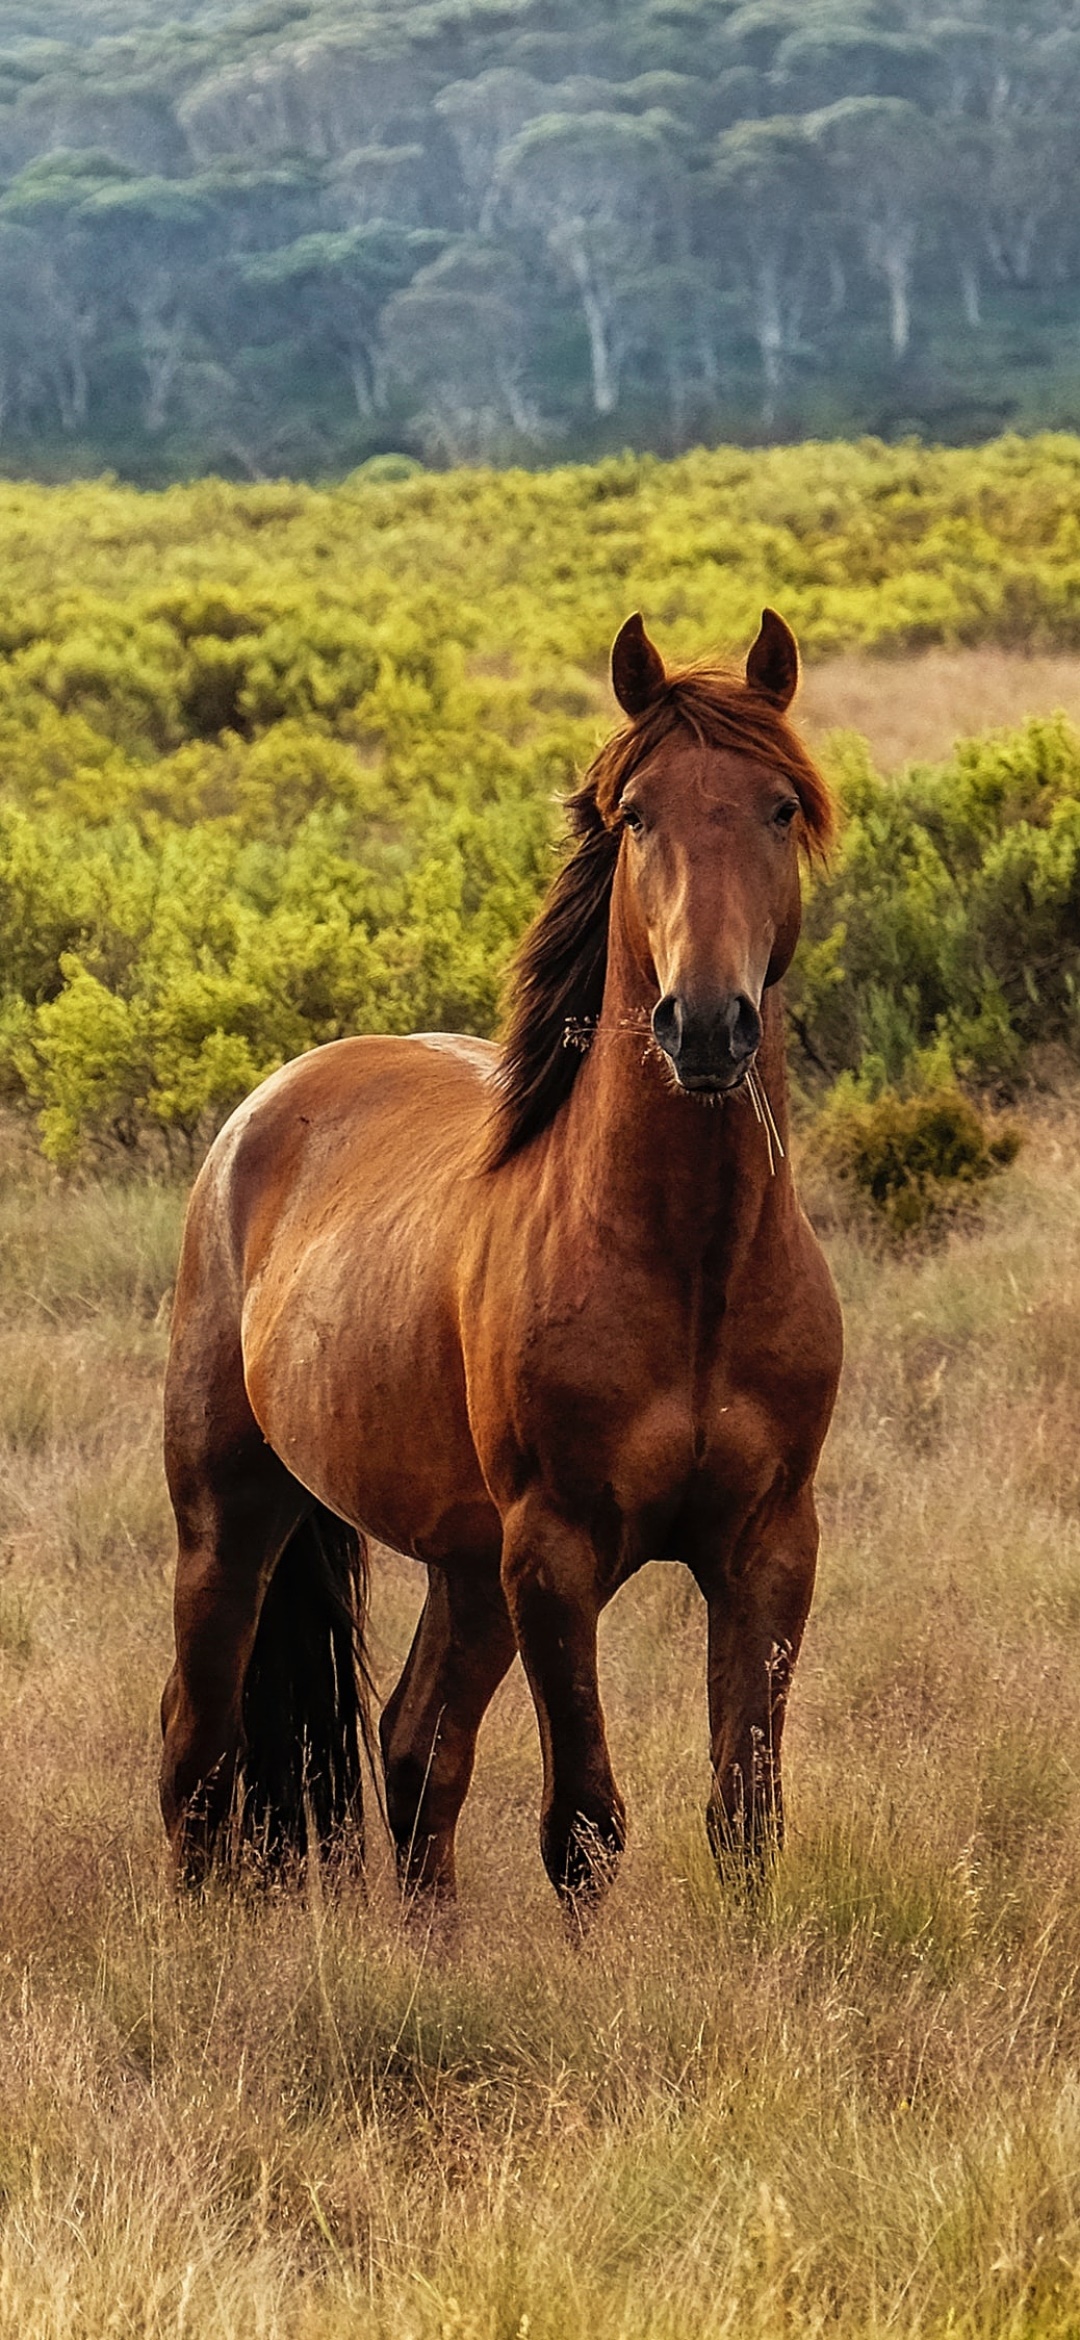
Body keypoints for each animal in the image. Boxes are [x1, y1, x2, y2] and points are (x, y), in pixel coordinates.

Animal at [160, 606, 843, 1909]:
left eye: (779, 806)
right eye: (637, 816)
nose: (707, 1024)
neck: (689, 1265)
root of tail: (264, 1108)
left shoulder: (768, 1549)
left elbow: (747, 1816)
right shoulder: (557, 1558)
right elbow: (583, 1826)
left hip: (465, 1567)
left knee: (414, 1747)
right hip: (231, 1518)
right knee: (198, 1749)